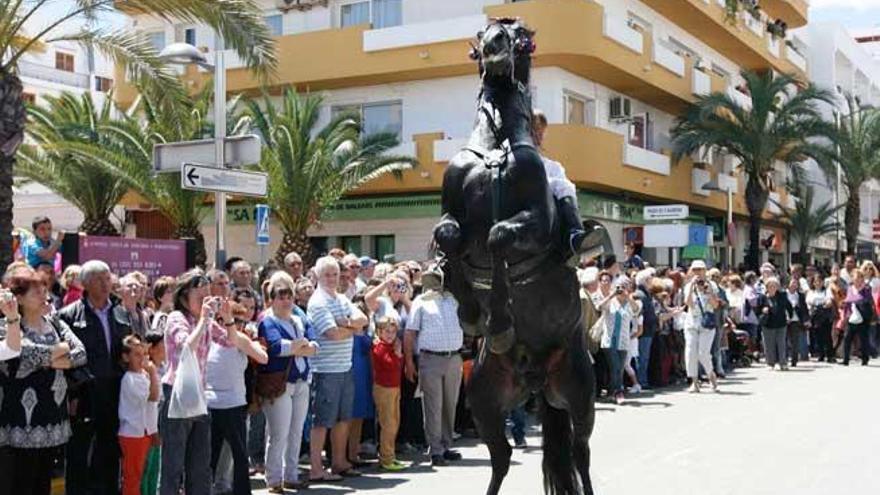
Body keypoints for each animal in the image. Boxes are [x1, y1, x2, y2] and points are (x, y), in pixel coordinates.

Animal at [436, 19, 600, 495]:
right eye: (483, 31)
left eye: (522, 33)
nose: (495, 46)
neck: (495, 148)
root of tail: (536, 381)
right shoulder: (450, 213)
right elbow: (449, 235)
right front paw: (471, 309)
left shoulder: (536, 223)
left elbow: (496, 237)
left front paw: (499, 320)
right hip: (485, 401)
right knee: (502, 459)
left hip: (579, 395)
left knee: (580, 454)